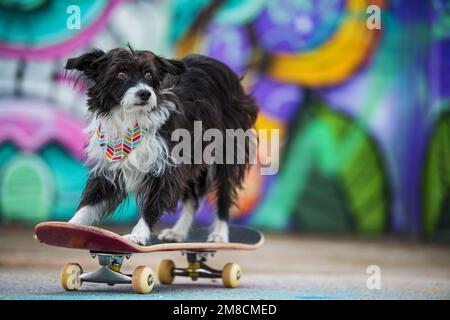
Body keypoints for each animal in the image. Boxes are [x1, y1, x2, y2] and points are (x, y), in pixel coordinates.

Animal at [65, 45, 258, 245]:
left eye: (149, 74)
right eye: (120, 74)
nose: (145, 93)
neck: (131, 120)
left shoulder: (165, 168)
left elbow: (152, 204)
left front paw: (138, 235)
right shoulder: (109, 169)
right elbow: (90, 203)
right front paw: (68, 226)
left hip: (227, 152)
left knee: (224, 194)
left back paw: (220, 233)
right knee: (192, 199)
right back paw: (178, 231)